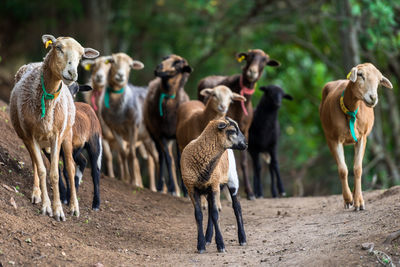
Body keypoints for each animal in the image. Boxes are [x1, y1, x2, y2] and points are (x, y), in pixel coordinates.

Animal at [145, 55, 193, 197]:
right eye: (164, 58)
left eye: (177, 64)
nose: (159, 67)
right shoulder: (160, 134)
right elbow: (169, 159)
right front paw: (172, 189)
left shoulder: (177, 135)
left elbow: (179, 160)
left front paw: (185, 192)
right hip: (154, 134)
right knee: (161, 157)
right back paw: (161, 186)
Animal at [181, 118, 247, 254]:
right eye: (232, 130)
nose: (246, 144)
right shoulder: (191, 189)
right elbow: (199, 215)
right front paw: (201, 245)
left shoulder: (215, 185)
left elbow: (216, 214)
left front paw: (221, 245)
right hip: (208, 191)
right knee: (211, 209)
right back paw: (207, 238)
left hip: (232, 180)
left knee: (237, 207)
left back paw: (242, 238)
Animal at [196, 49, 278, 201]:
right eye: (249, 56)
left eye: (264, 60)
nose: (252, 72)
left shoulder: (245, 131)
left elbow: (244, 162)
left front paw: (250, 193)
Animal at [318, 62, 394, 211]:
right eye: (360, 75)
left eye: (379, 80)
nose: (373, 98)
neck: (351, 110)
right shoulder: (334, 139)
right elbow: (342, 169)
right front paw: (348, 200)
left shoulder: (362, 137)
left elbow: (358, 169)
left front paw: (359, 202)